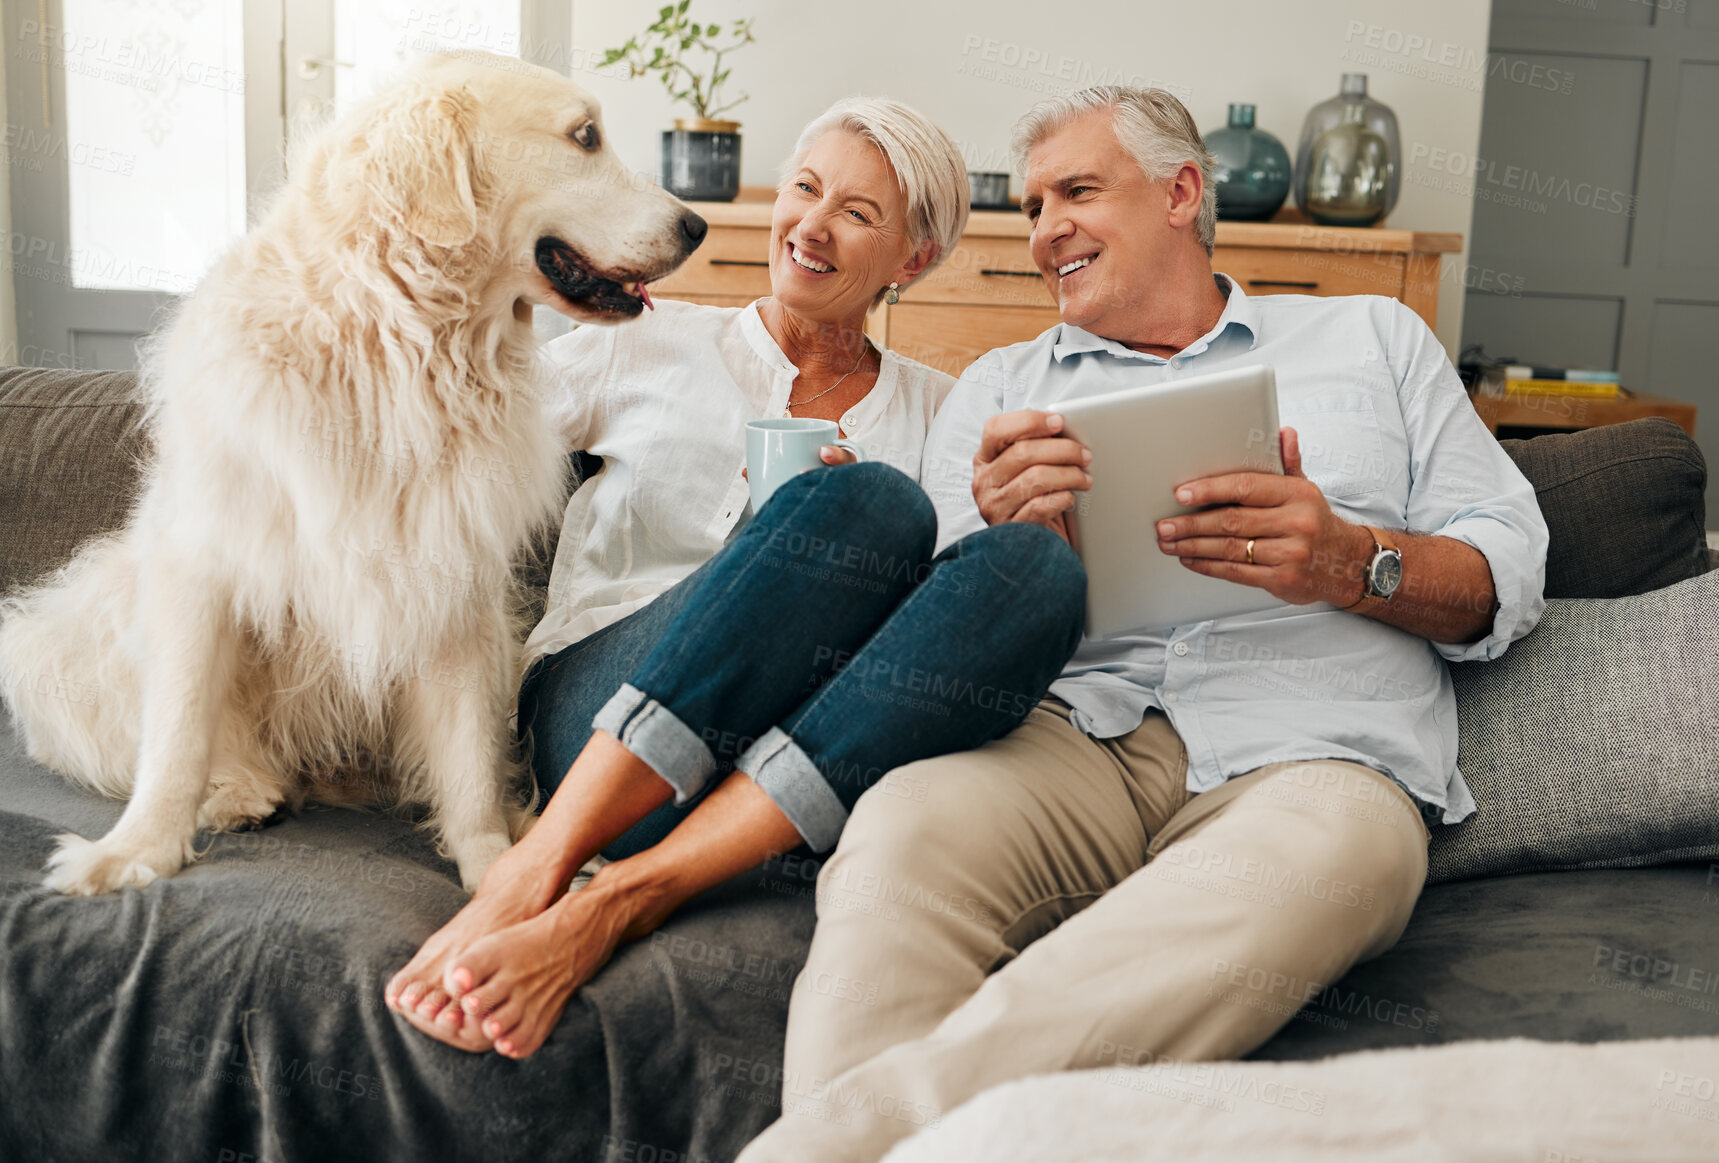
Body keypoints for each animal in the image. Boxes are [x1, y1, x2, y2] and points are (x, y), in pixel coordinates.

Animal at [0, 49, 704, 893]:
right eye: (585, 136)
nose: (698, 226)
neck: (399, 339)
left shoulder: (455, 582)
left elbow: (467, 758)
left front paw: (491, 862)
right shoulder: (200, 563)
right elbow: (178, 728)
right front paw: (136, 850)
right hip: (63, 633)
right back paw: (241, 790)